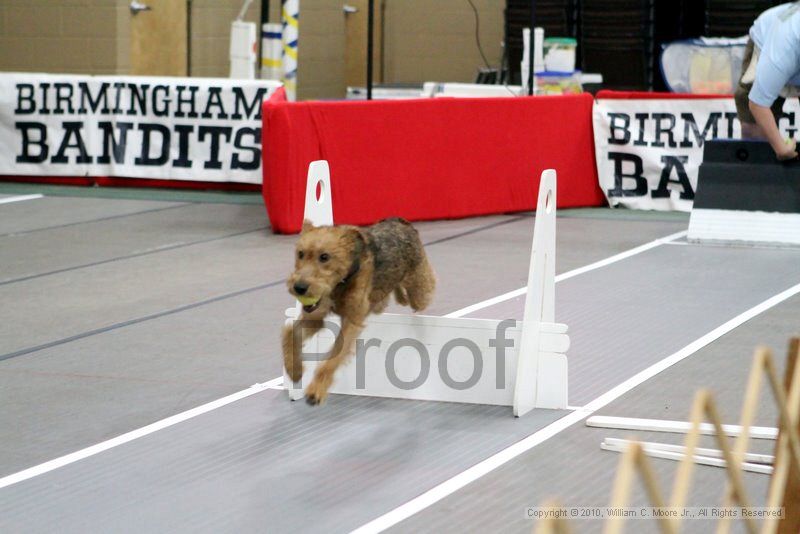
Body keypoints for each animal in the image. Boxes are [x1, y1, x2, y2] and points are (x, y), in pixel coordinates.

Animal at [280, 218, 434, 406]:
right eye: (300, 254)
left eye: (324, 257)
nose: (299, 287)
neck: (341, 282)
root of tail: (399, 221)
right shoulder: (314, 317)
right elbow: (289, 333)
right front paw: (294, 370)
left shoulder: (351, 322)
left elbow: (332, 359)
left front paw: (316, 391)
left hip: (420, 288)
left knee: (423, 292)